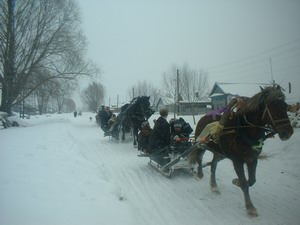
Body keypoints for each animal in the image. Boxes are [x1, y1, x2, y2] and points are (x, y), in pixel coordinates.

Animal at [190, 84, 292, 216]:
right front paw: (250, 207)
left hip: (220, 153)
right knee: (199, 157)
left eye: (285, 106)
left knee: (213, 165)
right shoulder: (237, 161)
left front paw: (236, 181)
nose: (288, 132)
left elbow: (251, 180)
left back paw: (214, 186)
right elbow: (244, 183)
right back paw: (200, 174)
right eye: (272, 107)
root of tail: (205, 117)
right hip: (202, 144)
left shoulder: (252, 159)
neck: (244, 131)